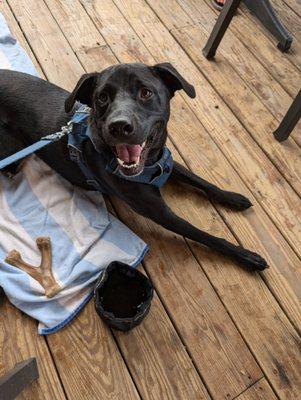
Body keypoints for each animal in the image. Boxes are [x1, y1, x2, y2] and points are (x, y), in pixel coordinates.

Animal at [0, 64, 268, 272]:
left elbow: (200, 180)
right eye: (102, 97)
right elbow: (202, 233)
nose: (119, 126)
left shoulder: (165, 162)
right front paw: (246, 256)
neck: (149, 165)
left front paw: (232, 197)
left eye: (146, 92)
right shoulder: (159, 213)